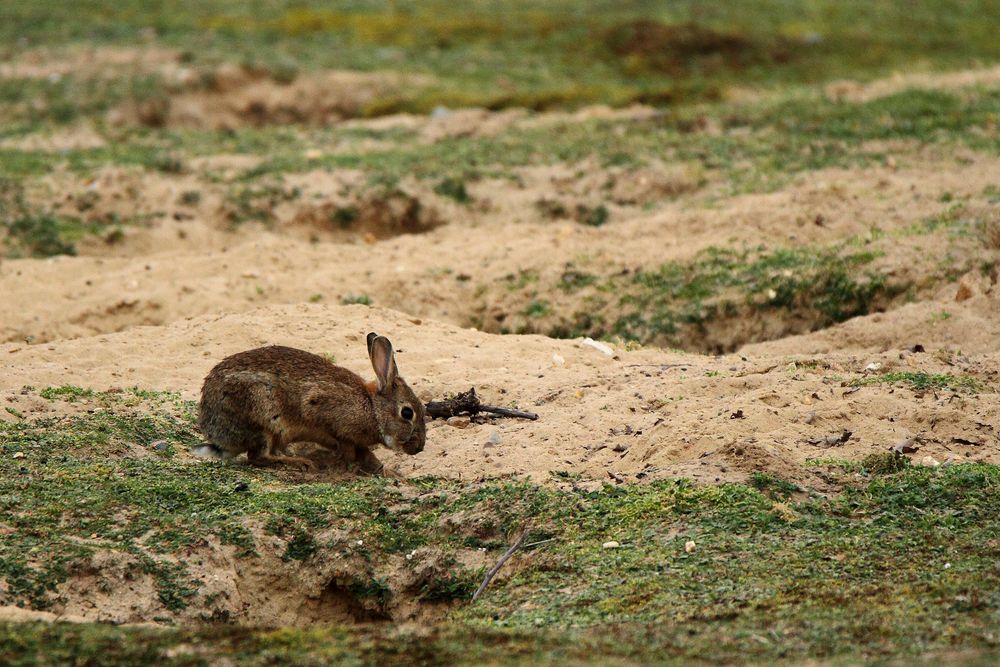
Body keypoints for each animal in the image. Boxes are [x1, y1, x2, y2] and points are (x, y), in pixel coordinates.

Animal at [194, 332, 426, 470]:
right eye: (407, 413)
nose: (419, 448)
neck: (373, 407)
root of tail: (218, 436)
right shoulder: (322, 409)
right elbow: (344, 444)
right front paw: (347, 460)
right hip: (261, 418)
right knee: (258, 456)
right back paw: (301, 462)